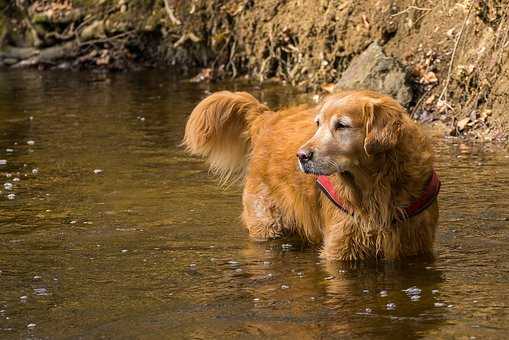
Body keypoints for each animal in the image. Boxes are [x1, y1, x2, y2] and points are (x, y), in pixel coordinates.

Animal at [182, 89, 436, 260]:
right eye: (318, 124)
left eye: (341, 125)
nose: (301, 155)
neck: (375, 184)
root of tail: (267, 117)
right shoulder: (340, 246)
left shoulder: (415, 243)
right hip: (267, 222)